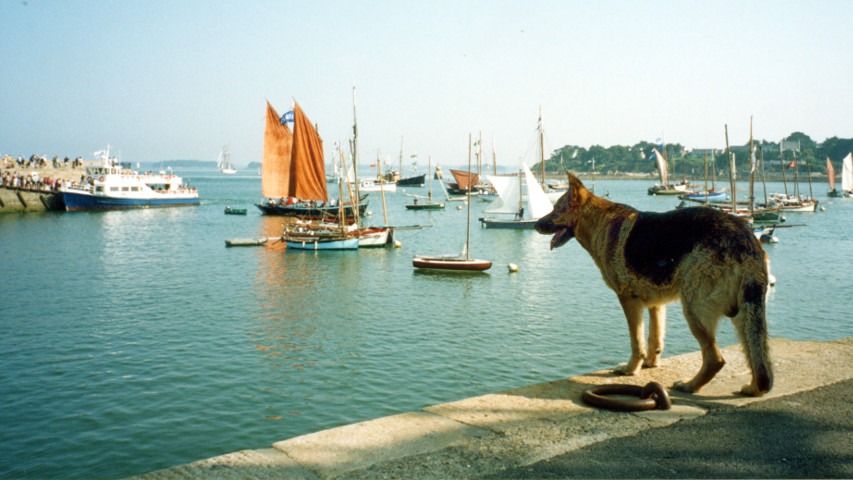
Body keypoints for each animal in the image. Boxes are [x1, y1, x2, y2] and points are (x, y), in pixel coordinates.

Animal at [532, 172, 772, 398]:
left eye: (556, 209)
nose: (535, 224)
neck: (599, 222)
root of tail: (747, 240)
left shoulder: (629, 301)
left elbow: (637, 341)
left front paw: (631, 370)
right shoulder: (656, 304)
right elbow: (654, 339)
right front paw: (650, 364)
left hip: (694, 310)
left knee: (715, 359)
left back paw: (690, 386)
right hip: (744, 314)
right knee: (757, 358)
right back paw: (753, 388)